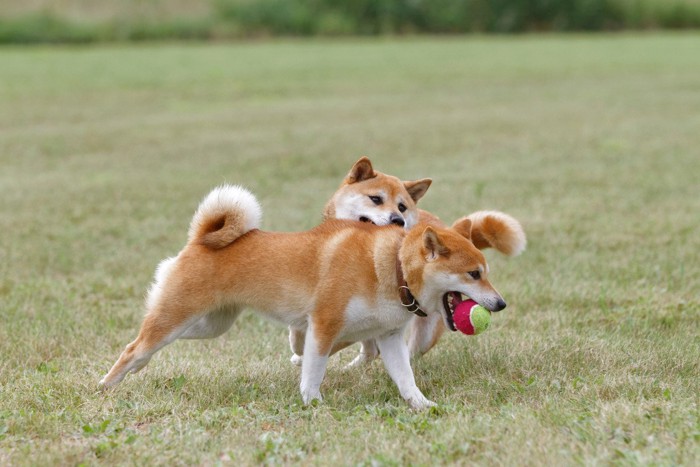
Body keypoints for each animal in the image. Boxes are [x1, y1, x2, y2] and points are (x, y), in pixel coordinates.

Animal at [101, 185, 524, 408]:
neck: (392, 268)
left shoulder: (388, 338)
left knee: (143, 345)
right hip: (179, 314)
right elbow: (314, 369)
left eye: (486, 272)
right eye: (475, 274)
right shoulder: (323, 324)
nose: (501, 304)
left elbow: (405, 378)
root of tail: (200, 239)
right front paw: (312, 402)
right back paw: (105, 386)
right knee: (134, 346)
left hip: (209, 325)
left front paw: (421, 405)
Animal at [290, 158, 524, 370]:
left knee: (403, 352)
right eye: (376, 199)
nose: (397, 219)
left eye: (402, 207)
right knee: (370, 349)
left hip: (425, 331)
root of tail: (448, 227)